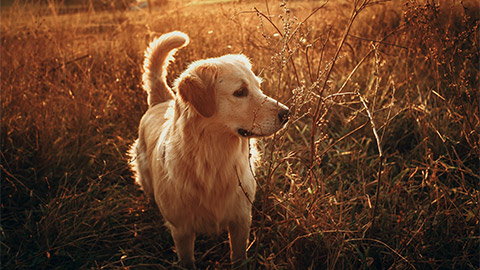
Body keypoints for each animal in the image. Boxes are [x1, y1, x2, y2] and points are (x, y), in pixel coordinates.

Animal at [127, 31, 290, 268]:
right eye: (240, 92)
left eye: (258, 87)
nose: (287, 113)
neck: (213, 160)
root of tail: (161, 101)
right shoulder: (182, 231)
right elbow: (187, 261)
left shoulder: (241, 219)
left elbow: (238, 257)